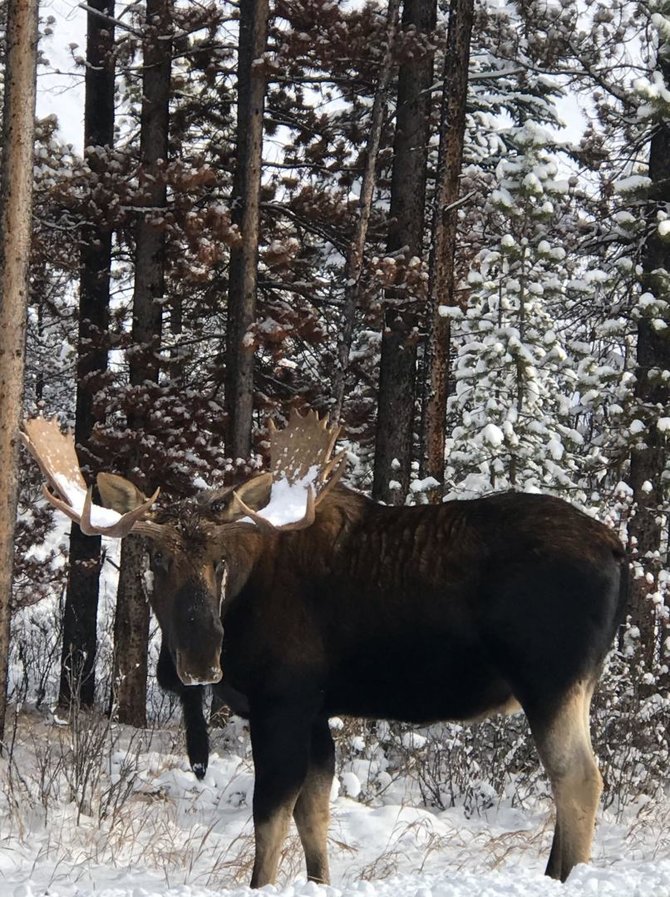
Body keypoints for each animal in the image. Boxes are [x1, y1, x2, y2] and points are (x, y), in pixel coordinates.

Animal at [22, 414, 632, 888]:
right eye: (154, 557)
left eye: (220, 560)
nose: (199, 661)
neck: (243, 595)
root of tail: (617, 547)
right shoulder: (316, 711)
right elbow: (313, 818)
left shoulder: (283, 702)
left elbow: (269, 817)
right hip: (568, 685)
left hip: (551, 680)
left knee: (580, 779)